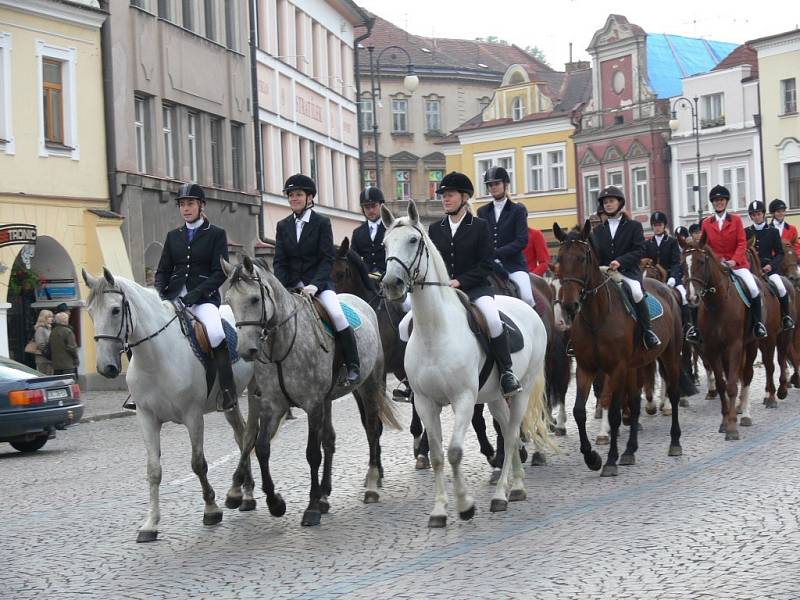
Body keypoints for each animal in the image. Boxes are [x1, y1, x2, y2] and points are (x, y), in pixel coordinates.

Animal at [82, 270, 256, 540]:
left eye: (115, 310)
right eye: (90, 312)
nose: (105, 368)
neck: (155, 358)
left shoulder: (193, 416)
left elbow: (198, 464)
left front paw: (211, 509)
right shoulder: (146, 418)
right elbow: (153, 470)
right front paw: (150, 524)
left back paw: (242, 494)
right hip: (231, 400)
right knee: (241, 435)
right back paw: (244, 494)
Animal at [220, 255, 398, 528]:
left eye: (254, 299)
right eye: (228, 302)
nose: (245, 350)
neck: (281, 346)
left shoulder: (312, 404)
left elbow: (312, 453)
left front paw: (311, 507)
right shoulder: (273, 405)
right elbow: (262, 448)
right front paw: (276, 502)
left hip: (369, 385)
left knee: (371, 429)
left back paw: (370, 484)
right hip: (330, 399)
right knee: (331, 440)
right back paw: (326, 494)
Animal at [380, 200, 552, 524]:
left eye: (413, 240)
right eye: (384, 244)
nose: (392, 284)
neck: (435, 331)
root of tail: (527, 307)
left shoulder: (463, 399)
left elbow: (455, 452)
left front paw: (465, 505)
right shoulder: (425, 402)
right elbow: (437, 456)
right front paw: (438, 511)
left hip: (520, 390)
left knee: (512, 434)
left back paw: (502, 495)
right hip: (495, 396)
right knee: (506, 430)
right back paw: (515, 485)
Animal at [552, 221, 684, 478]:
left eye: (582, 258)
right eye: (559, 259)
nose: (570, 305)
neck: (597, 317)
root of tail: (666, 288)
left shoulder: (616, 368)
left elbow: (612, 413)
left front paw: (610, 460)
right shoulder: (586, 368)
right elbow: (579, 411)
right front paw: (592, 458)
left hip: (670, 355)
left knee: (673, 393)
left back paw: (674, 443)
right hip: (634, 366)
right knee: (634, 403)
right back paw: (630, 451)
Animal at [684, 232, 760, 438]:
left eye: (701, 261)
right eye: (682, 263)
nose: (692, 297)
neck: (717, 303)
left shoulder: (735, 346)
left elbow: (732, 385)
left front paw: (732, 426)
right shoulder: (712, 349)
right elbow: (721, 384)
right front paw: (725, 421)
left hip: (750, 345)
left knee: (747, 375)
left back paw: (746, 414)